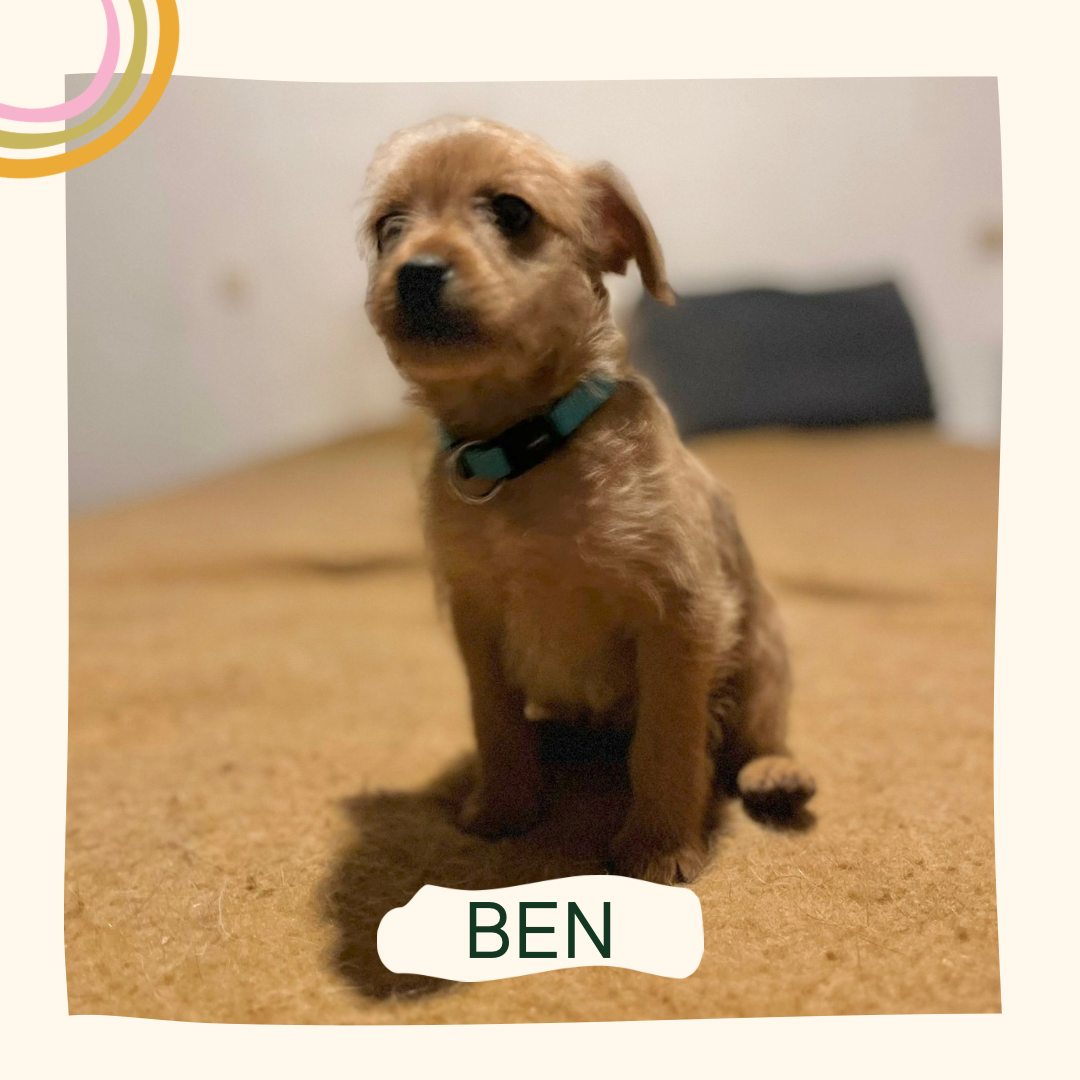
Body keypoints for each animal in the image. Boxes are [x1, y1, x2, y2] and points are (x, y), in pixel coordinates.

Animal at [359, 117, 815, 884]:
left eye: (511, 211)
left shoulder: (680, 619)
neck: (525, 447)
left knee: (751, 736)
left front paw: (658, 847)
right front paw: (504, 808)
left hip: (764, 652)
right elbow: (495, 723)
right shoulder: (477, 621)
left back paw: (775, 774)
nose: (414, 272)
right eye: (389, 228)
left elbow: (667, 743)